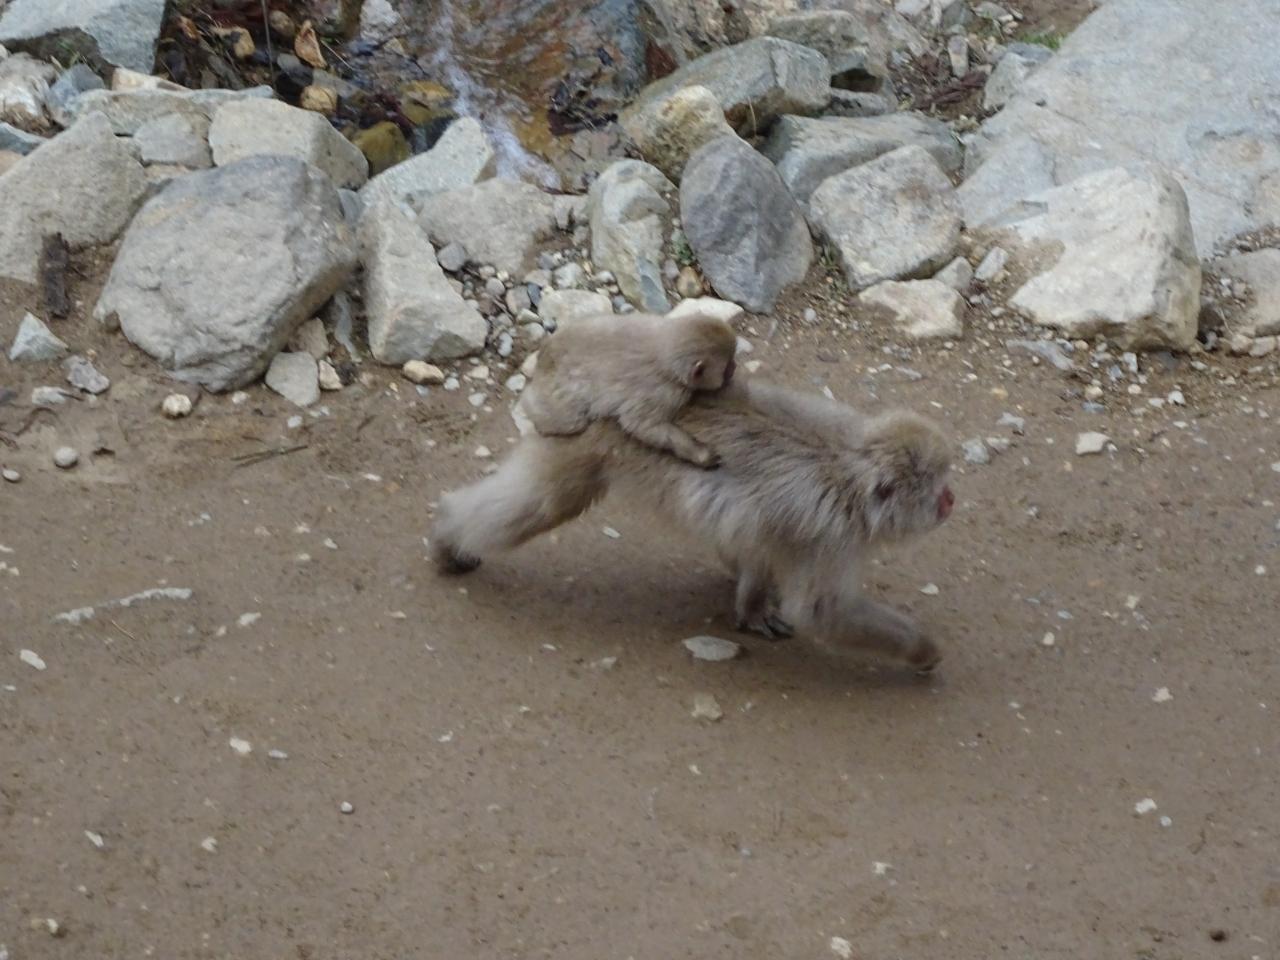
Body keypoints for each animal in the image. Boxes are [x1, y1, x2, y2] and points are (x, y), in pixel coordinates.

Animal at [431, 378, 956, 672]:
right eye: (933, 489)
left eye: (945, 480)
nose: (951, 500)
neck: (852, 474)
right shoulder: (835, 538)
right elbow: (823, 611)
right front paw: (924, 651)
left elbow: (760, 542)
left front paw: (751, 606)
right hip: (588, 446)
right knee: (545, 502)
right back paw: (450, 535)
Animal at [520, 310, 738, 469]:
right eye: (726, 367)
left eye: (732, 358)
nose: (734, 368)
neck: (665, 350)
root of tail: (545, 354)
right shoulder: (664, 392)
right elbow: (642, 425)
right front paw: (699, 453)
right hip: (557, 396)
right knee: (569, 420)